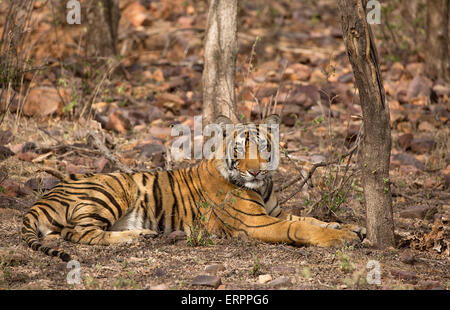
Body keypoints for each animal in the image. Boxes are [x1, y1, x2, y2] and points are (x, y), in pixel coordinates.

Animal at [22, 114, 362, 262]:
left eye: (263, 148)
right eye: (240, 148)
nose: (255, 170)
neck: (262, 186)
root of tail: (42, 199)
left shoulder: (275, 213)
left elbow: (309, 219)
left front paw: (351, 227)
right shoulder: (256, 223)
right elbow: (301, 228)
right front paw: (342, 236)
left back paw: (142, 233)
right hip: (114, 190)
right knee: (76, 233)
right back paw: (136, 237)